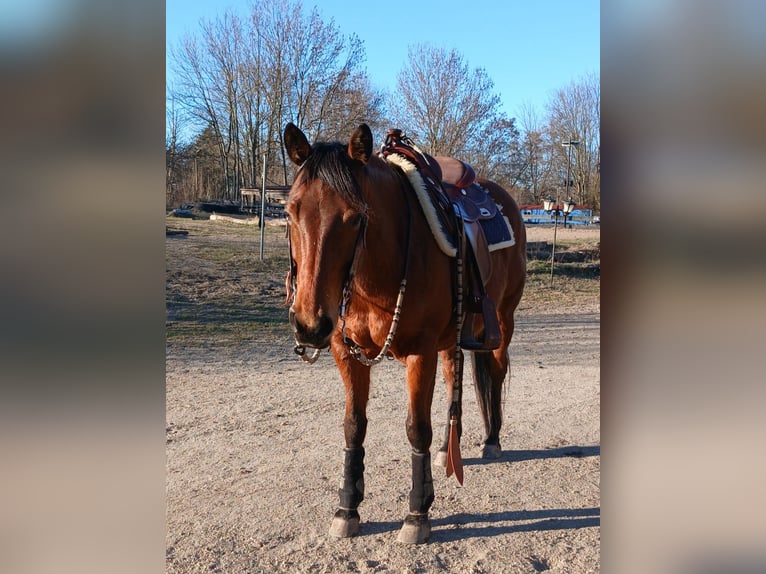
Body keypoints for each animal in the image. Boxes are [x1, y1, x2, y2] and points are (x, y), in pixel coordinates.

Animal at [283, 123, 526, 544]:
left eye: (354, 218)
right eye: (290, 212)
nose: (309, 324)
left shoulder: (419, 352)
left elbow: (416, 428)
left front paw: (417, 514)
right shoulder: (345, 351)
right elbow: (353, 427)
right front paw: (347, 507)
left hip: (503, 318)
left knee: (495, 371)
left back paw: (492, 440)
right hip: (451, 337)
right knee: (454, 376)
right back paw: (449, 448)